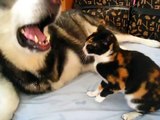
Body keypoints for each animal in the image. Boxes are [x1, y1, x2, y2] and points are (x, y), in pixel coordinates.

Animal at [0, 0, 159, 119]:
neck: (41, 63)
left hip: (99, 30)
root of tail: (77, 10)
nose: (54, 2)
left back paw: (154, 43)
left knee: (128, 37)